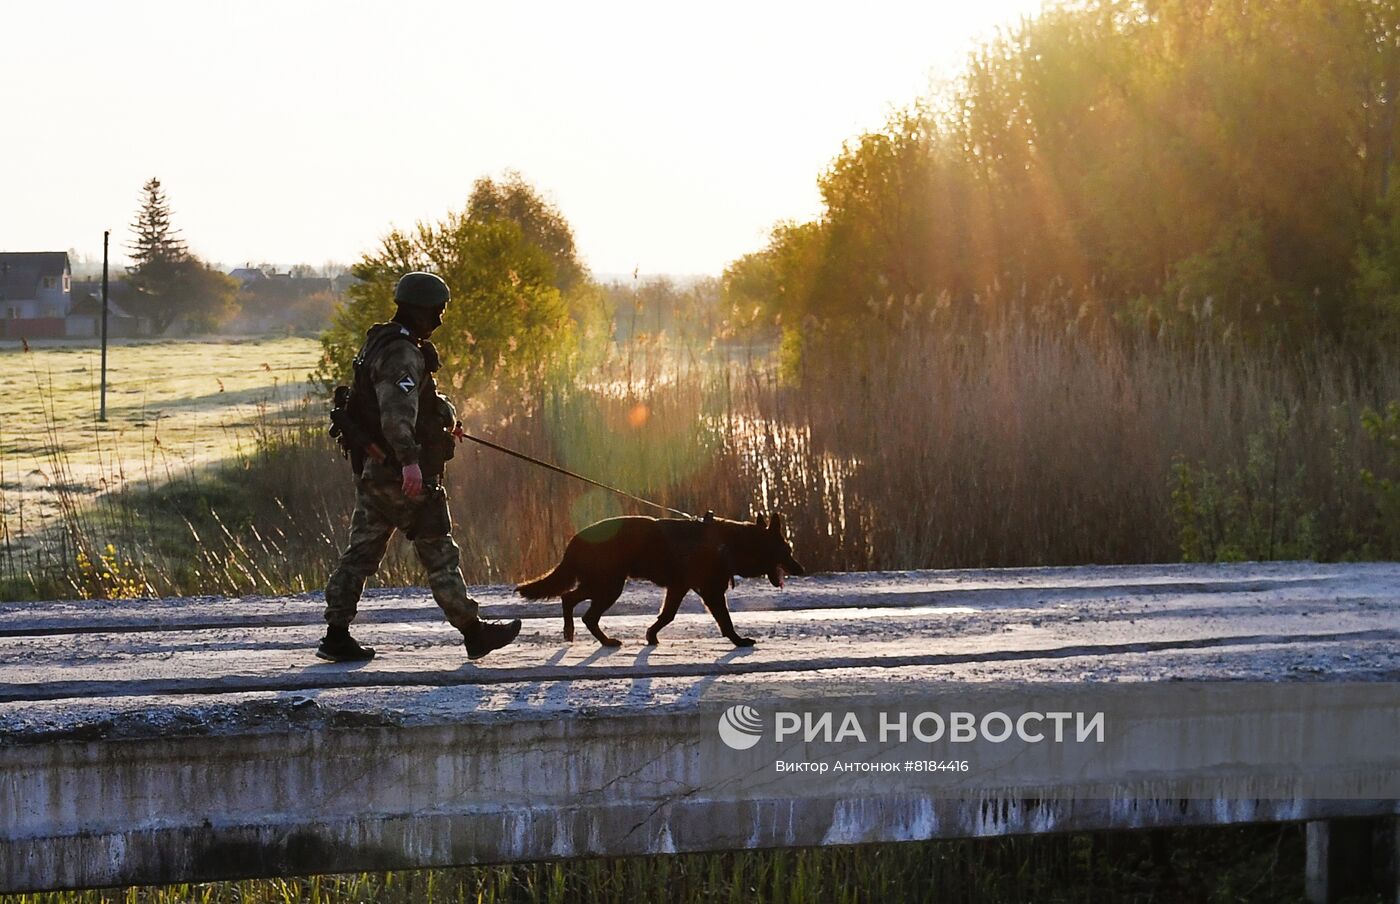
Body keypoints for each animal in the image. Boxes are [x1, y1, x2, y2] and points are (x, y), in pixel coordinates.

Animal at [515, 514, 806, 649]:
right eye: (787, 550)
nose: (802, 569)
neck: (733, 543)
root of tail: (576, 538)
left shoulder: (678, 588)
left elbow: (667, 615)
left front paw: (651, 635)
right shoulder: (711, 592)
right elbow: (725, 621)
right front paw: (737, 640)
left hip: (603, 584)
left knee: (571, 599)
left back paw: (576, 633)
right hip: (609, 586)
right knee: (580, 608)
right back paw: (595, 637)